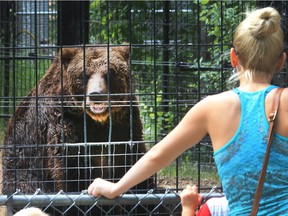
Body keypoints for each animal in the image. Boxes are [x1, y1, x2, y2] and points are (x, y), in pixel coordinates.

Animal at [2, 44, 155, 215]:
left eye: (109, 73)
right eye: (84, 75)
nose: (96, 95)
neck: (98, 122)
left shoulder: (125, 126)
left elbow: (133, 165)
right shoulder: (65, 125)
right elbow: (72, 173)